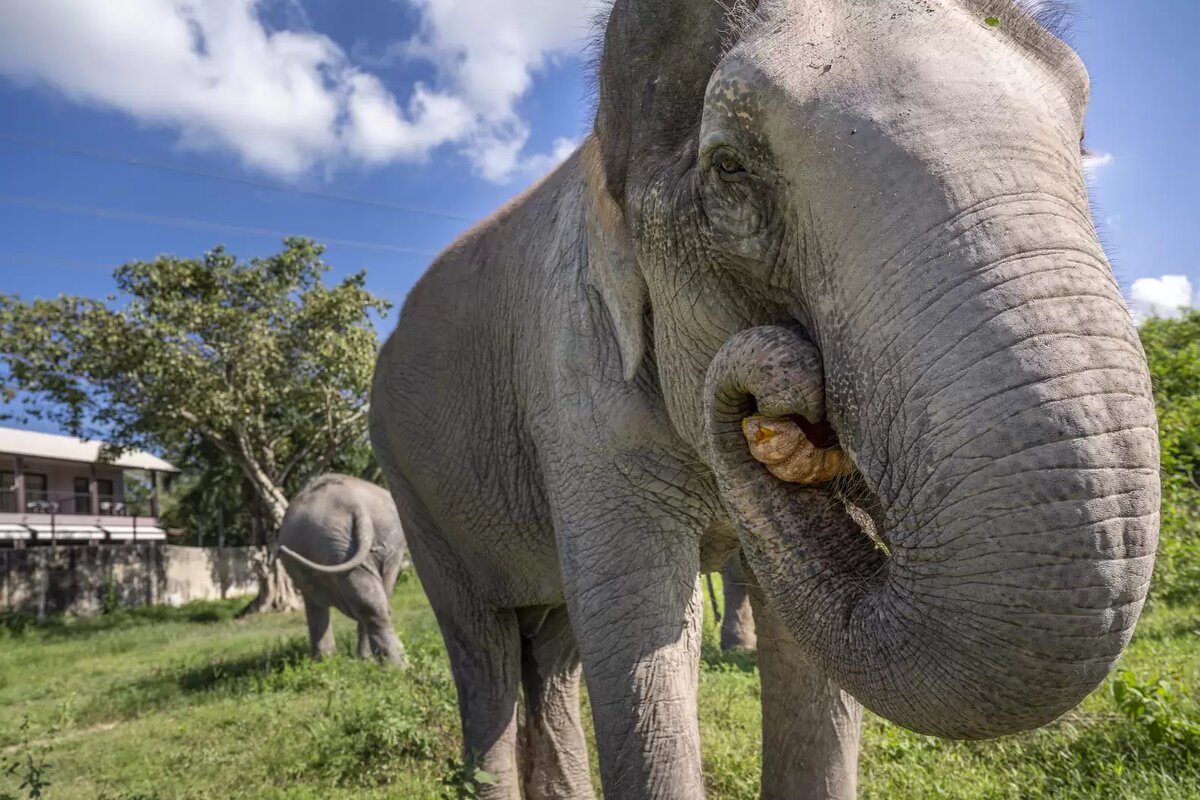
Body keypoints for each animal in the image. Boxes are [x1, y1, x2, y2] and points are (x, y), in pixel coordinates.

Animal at [278, 472, 410, 666]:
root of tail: (357, 506)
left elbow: (314, 605)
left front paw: (323, 662)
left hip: (332, 543)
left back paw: (394, 666)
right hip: (384, 542)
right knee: (376, 599)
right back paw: (382, 662)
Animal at [367, 3, 1161, 796]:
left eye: (1083, 146)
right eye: (729, 166)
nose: (778, 393)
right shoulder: (575, 386)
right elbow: (642, 626)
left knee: (553, 648)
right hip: (410, 485)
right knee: (484, 646)